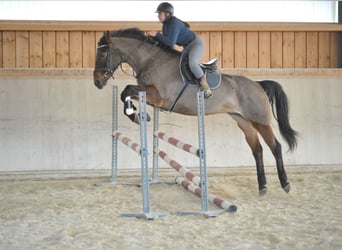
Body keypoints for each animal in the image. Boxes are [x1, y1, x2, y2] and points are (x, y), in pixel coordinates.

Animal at [93, 27, 296, 195]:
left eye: (103, 54)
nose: (97, 82)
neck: (151, 61)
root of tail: (259, 85)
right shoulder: (148, 94)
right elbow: (125, 92)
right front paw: (136, 114)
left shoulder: (158, 97)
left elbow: (127, 90)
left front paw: (136, 114)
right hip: (244, 122)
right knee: (257, 150)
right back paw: (262, 187)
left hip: (260, 121)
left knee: (275, 147)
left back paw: (285, 183)